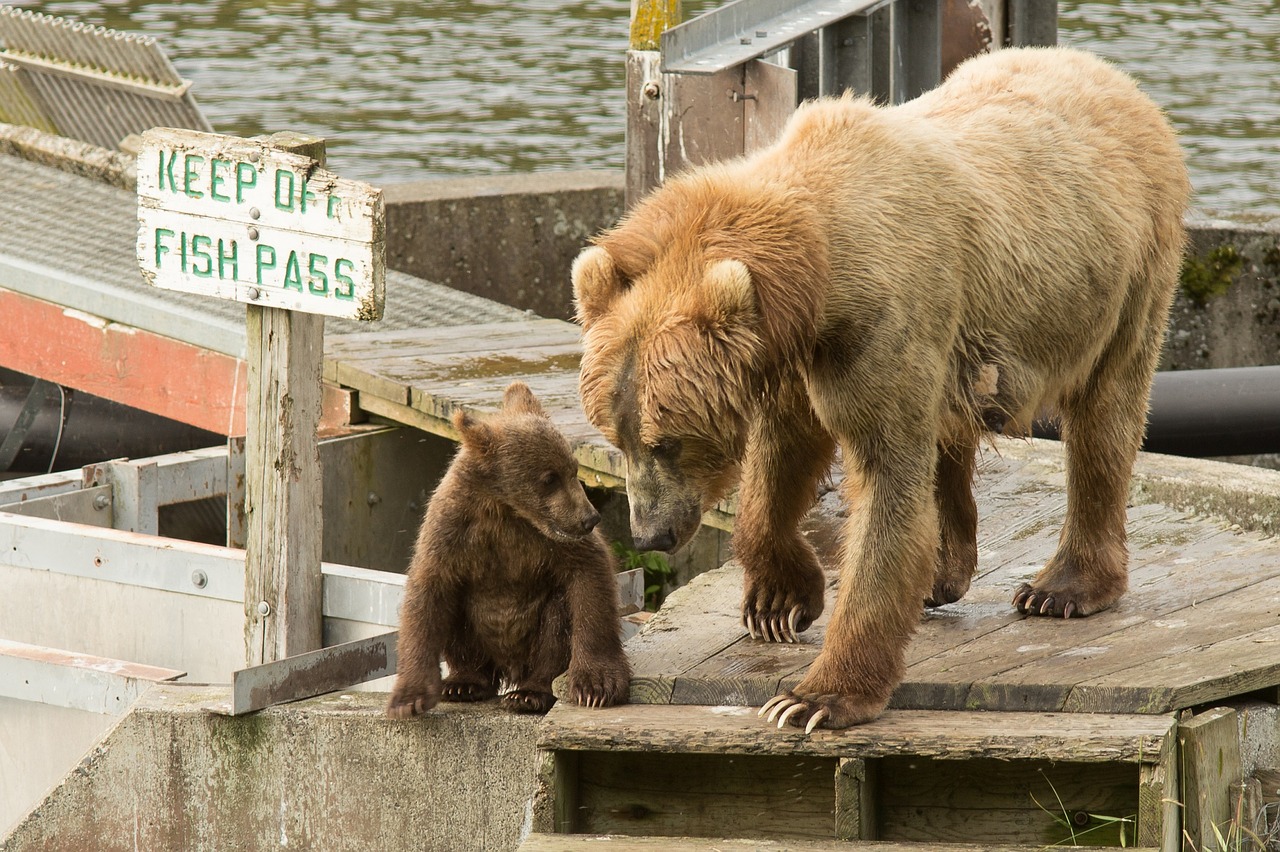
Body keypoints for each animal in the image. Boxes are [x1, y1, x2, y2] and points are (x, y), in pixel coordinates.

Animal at [570, 46, 1187, 726]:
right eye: (618, 436)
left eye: (667, 441)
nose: (649, 533)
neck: (817, 276)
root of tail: (1113, 77)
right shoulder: (796, 358)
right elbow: (781, 461)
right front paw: (778, 602)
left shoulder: (880, 321)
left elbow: (885, 479)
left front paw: (813, 698)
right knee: (953, 426)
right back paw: (946, 568)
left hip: (1128, 275)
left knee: (1105, 417)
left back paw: (1063, 586)